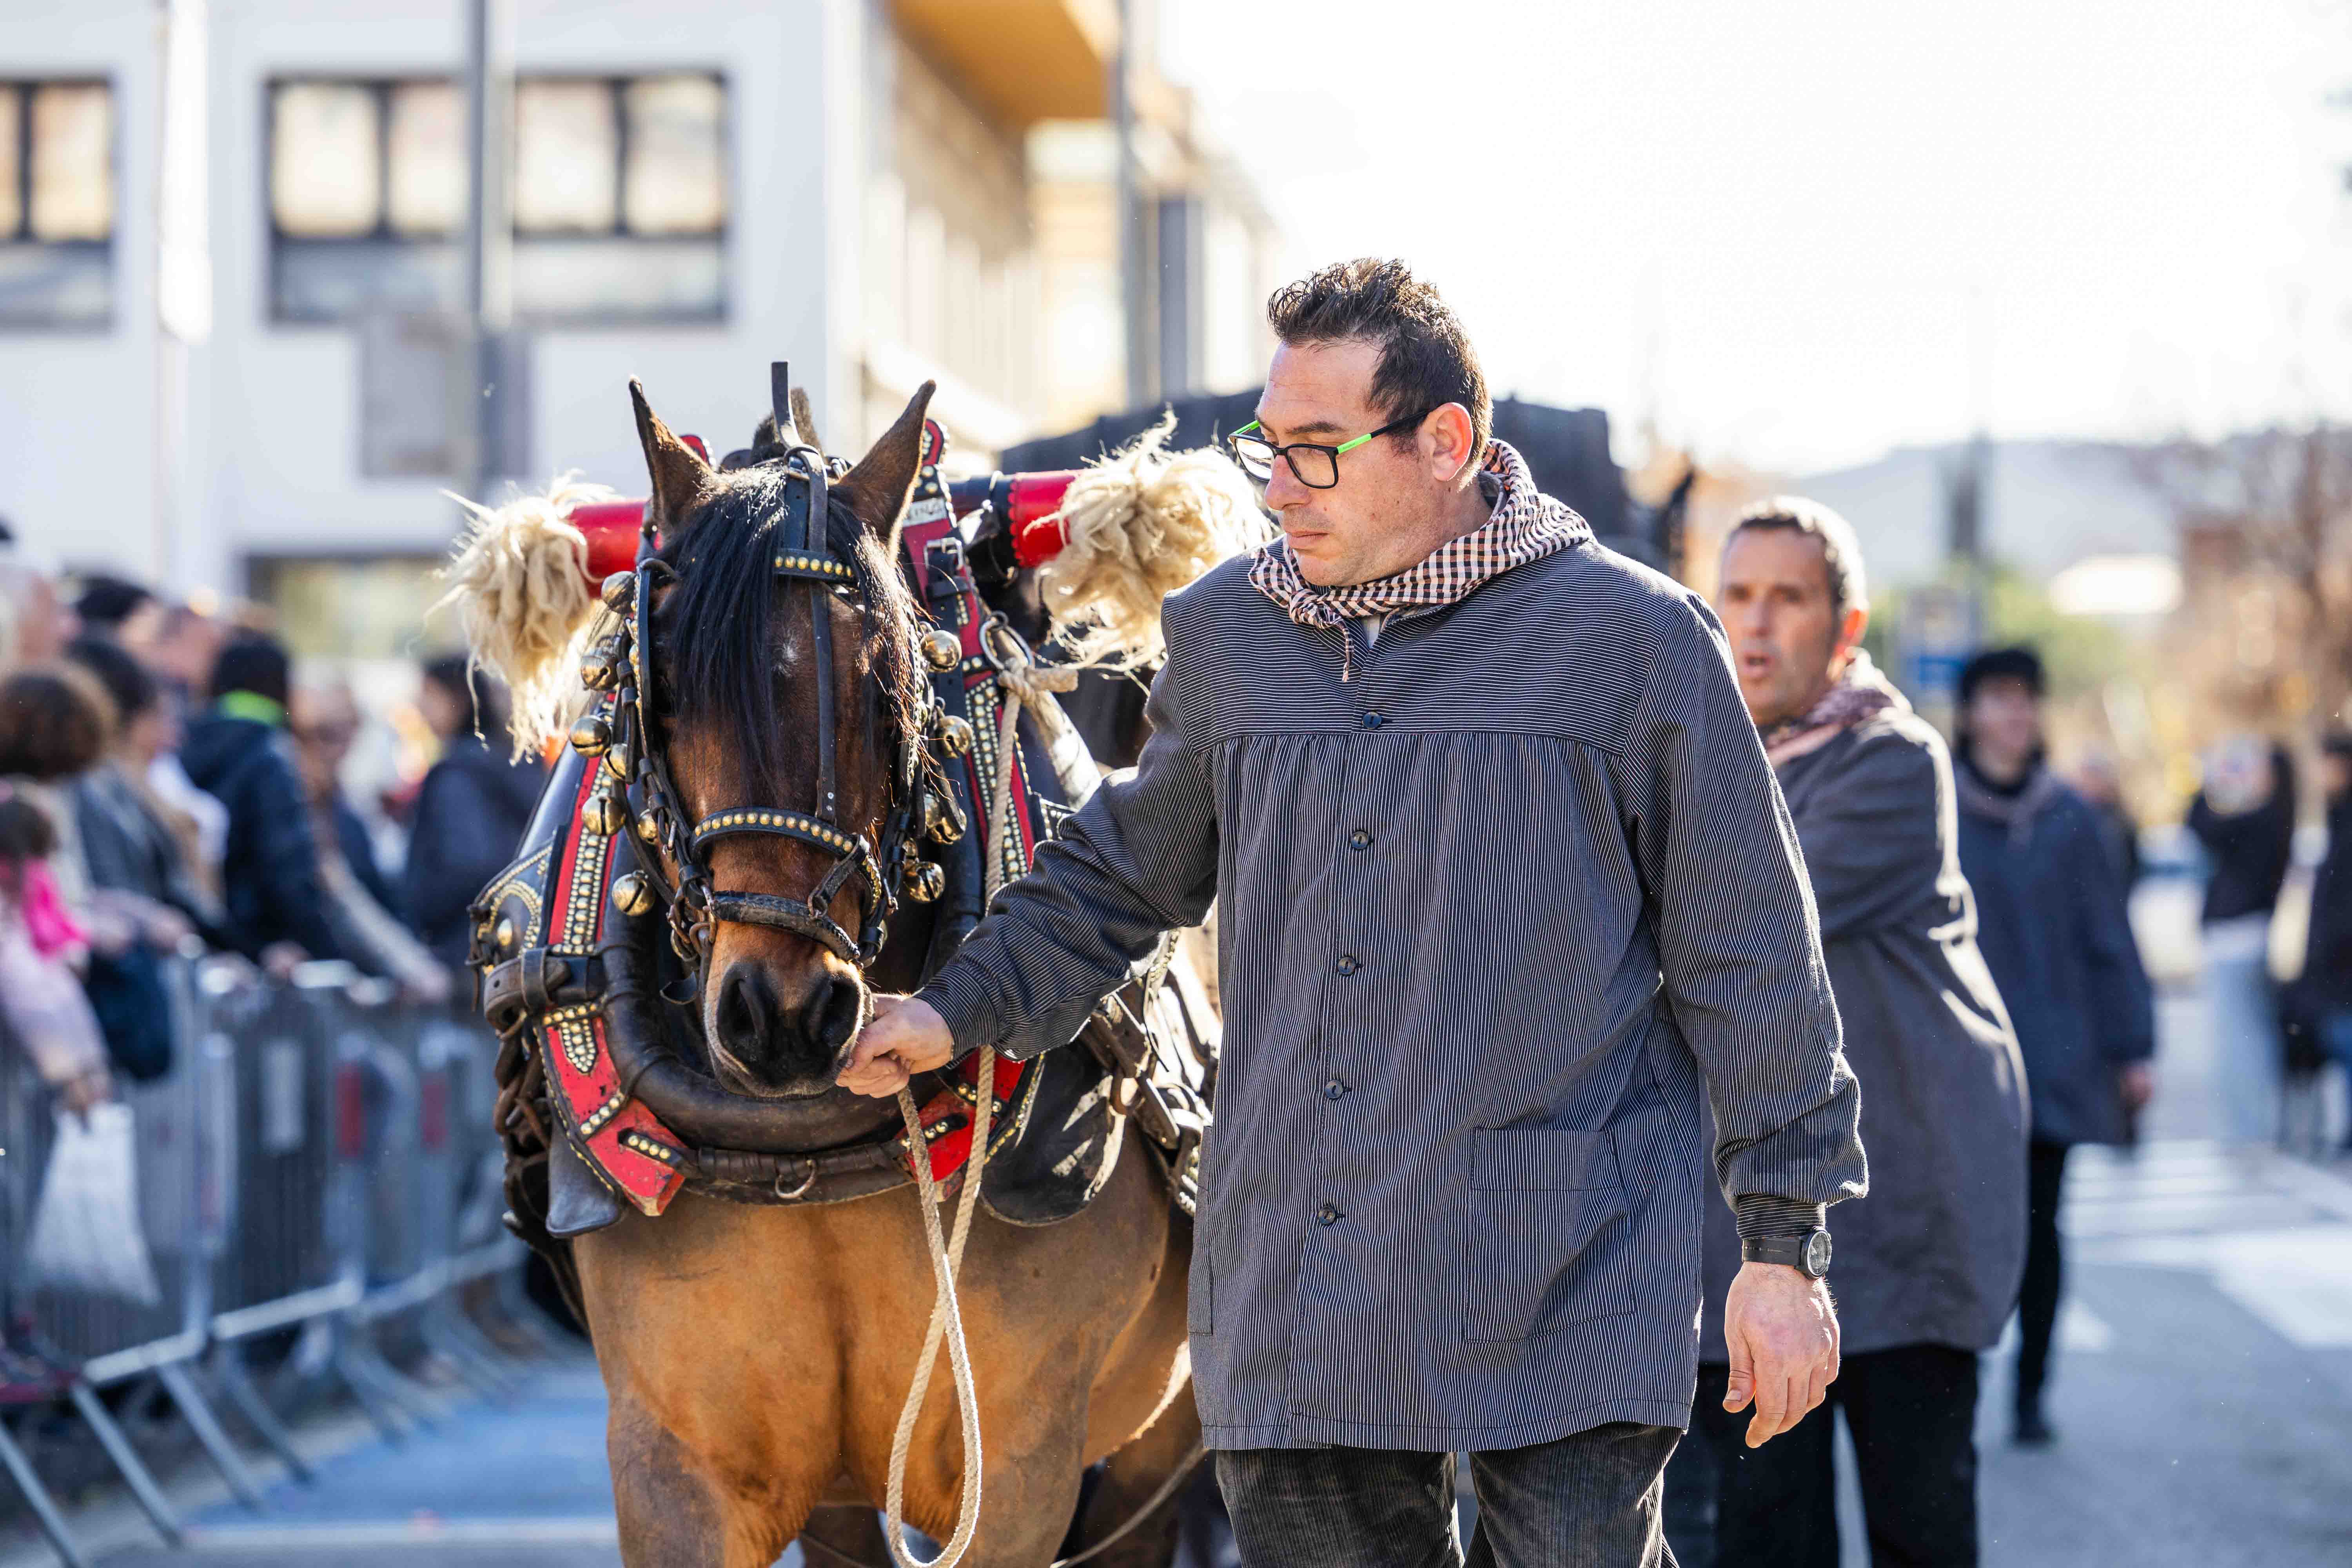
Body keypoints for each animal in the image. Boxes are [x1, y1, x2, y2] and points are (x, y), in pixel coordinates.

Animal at [480, 381, 1214, 1568]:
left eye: (890, 689)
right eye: (665, 694)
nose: (784, 1016)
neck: (806, 1157)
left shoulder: (1016, 1468)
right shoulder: (674, 1468)